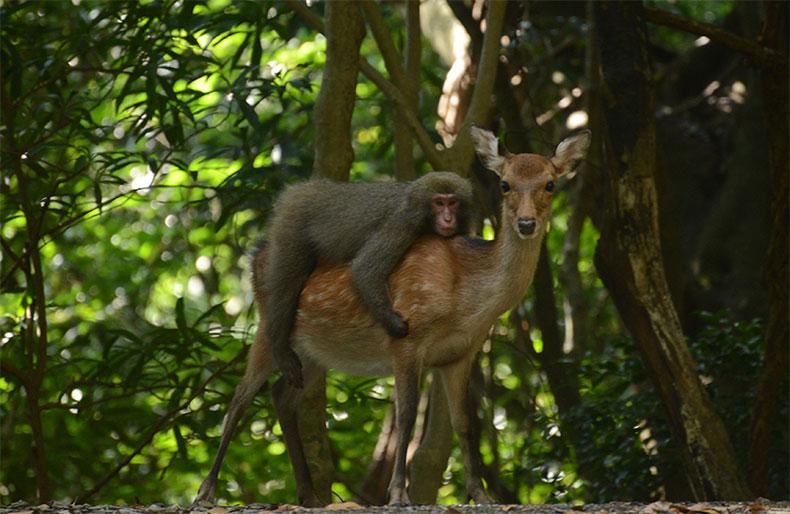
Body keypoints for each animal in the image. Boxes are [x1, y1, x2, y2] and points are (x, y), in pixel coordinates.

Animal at [266, 170, 476, 386]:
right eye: (439, 203)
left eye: (453, 203)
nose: (448, 219)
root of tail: (302, 190)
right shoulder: (403, 224)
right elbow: (366, 269)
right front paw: (393, 323)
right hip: (292, 226)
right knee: (286, 287)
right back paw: (279, 347)